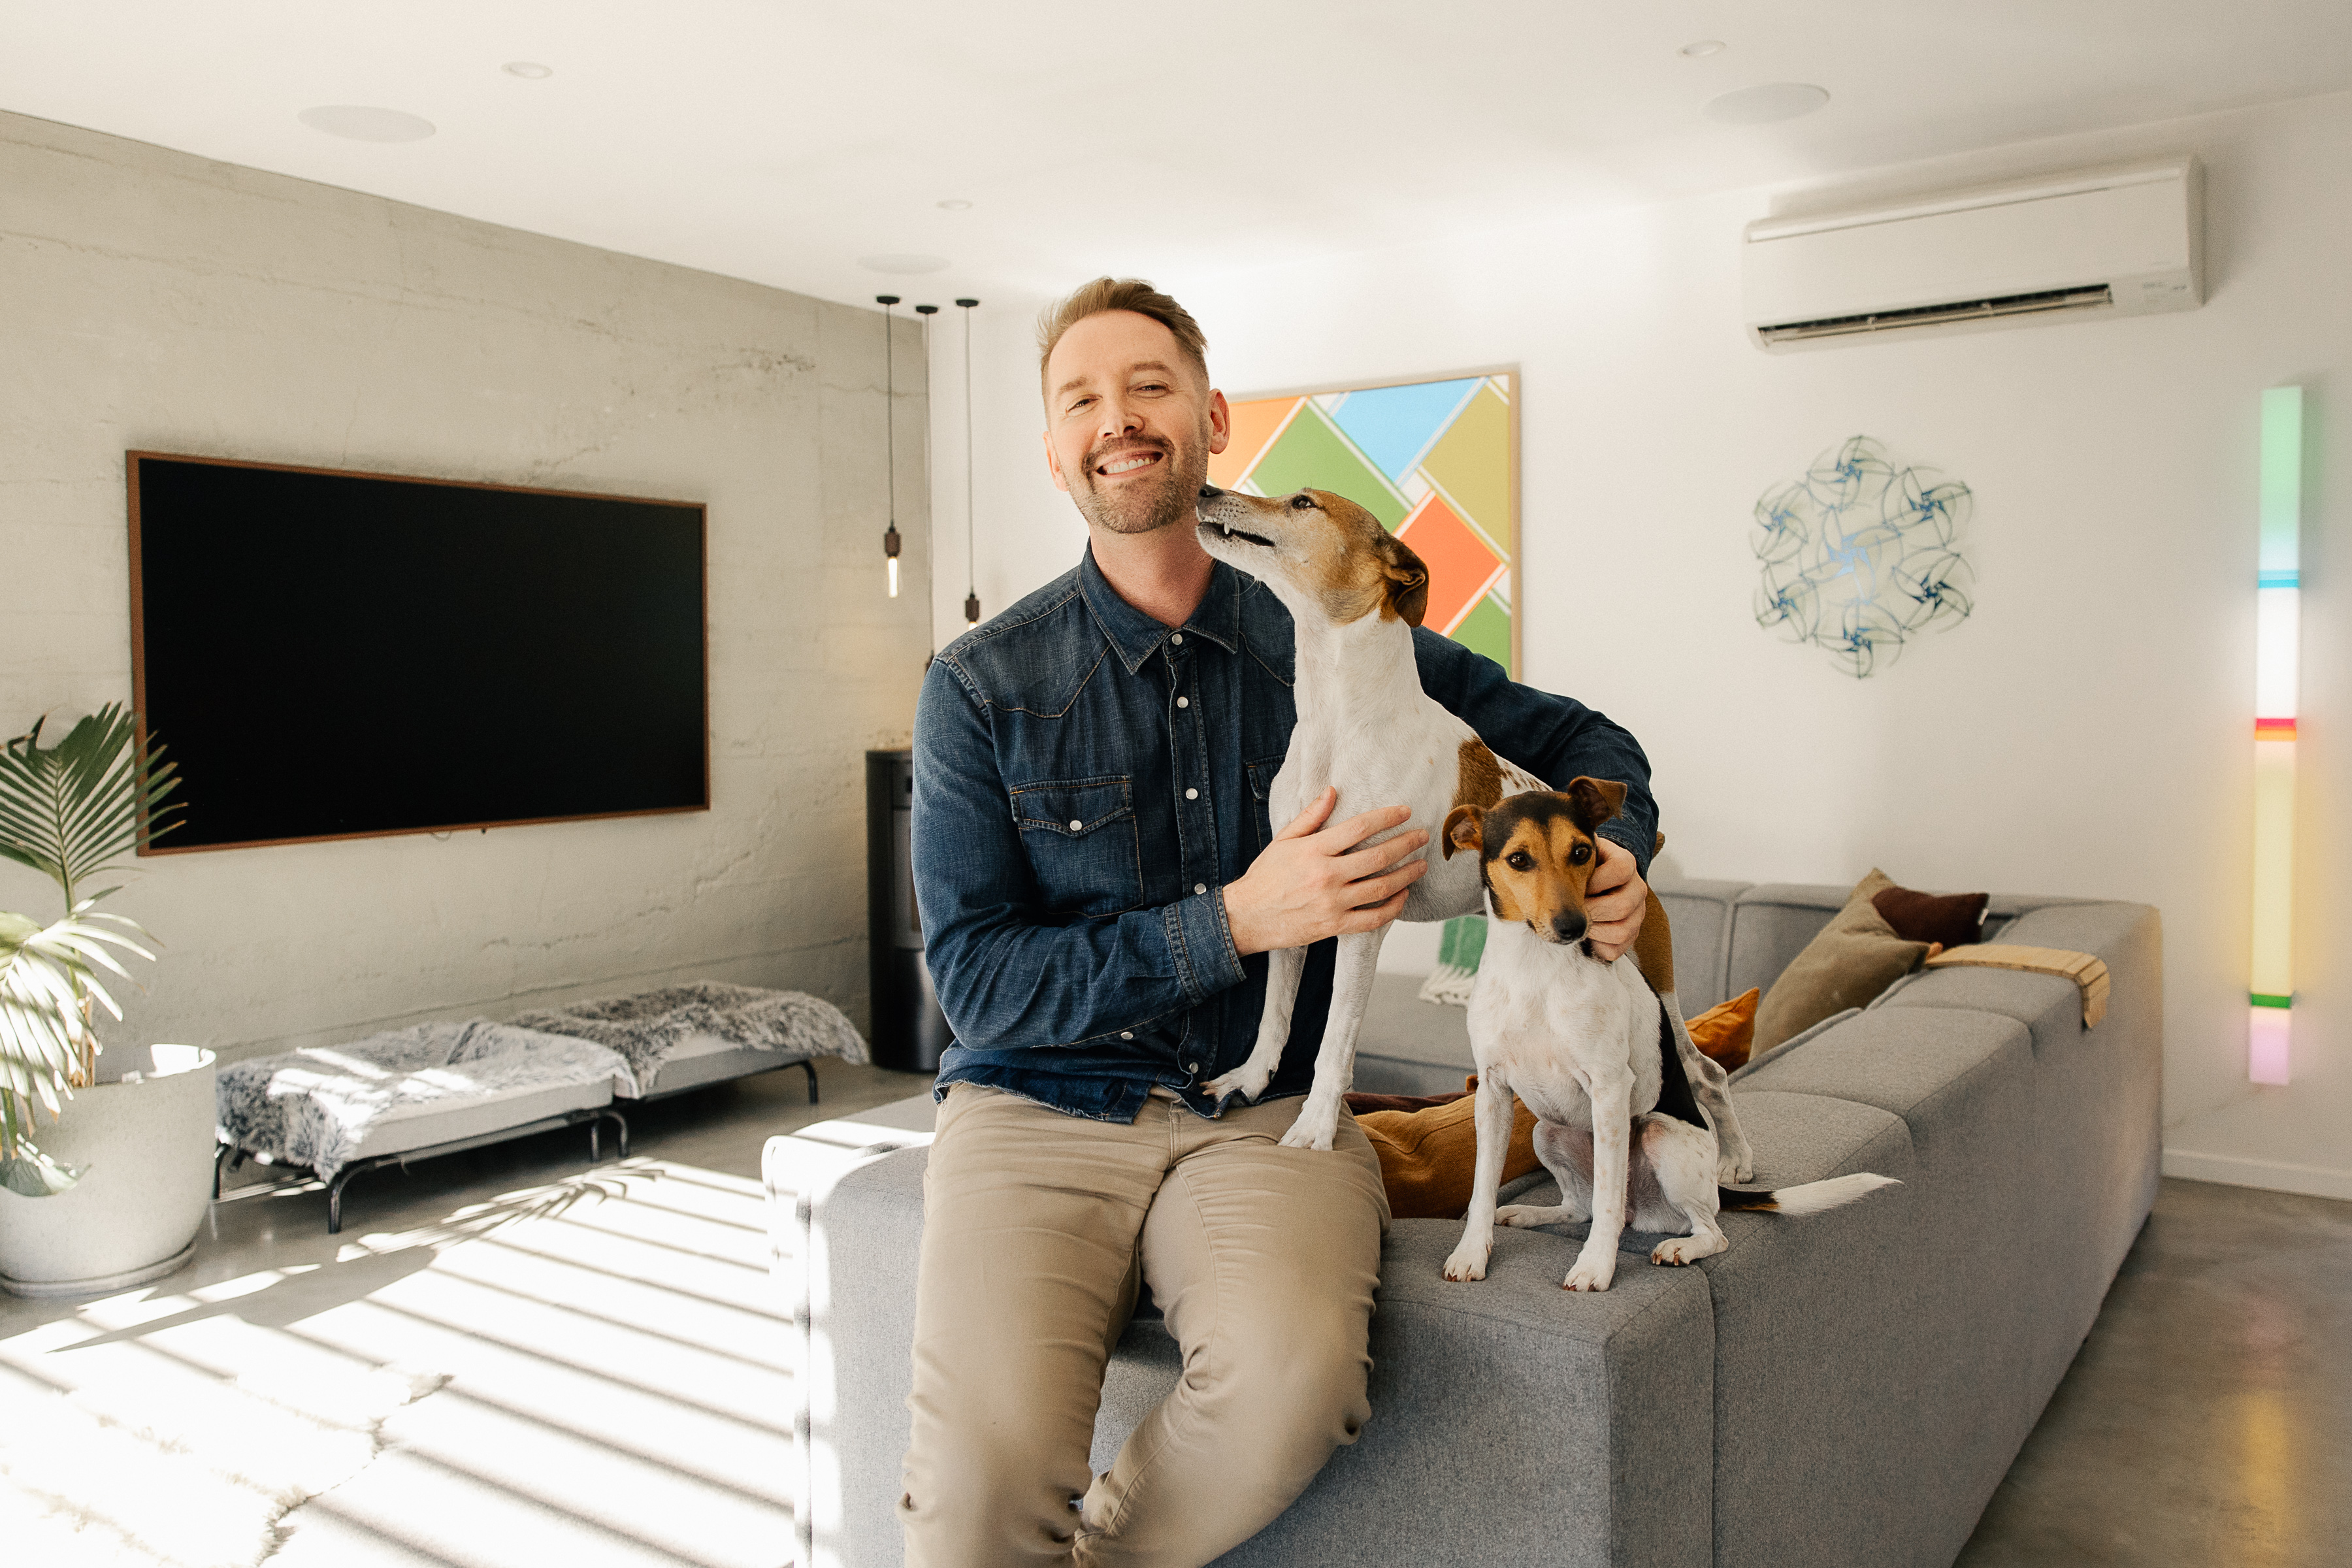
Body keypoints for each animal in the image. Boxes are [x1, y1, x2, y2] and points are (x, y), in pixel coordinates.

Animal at [1204, 486, 1759, 1175]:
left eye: (1303, 502)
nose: (1206, 490)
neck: (1341, 721)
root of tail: (1635, 858)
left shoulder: (1364, 921)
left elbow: (1334, 1044)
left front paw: (1313, 1128)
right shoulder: (1296, 900)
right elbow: (1274, 1017)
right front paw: (1250, 1081)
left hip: (1654, 986)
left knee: (1706, 1070)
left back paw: (1735, 1159)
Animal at [1429, 789, 1891, 1298]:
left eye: (1582, 852)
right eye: (1518, 859)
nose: (1574, 926)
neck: (1535, 967)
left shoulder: (1609, 1088)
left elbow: (1608, 1203)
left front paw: (1596, 1267)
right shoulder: (1492, 1093)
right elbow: (1482, 1192)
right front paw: (1472, 1253)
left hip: (1661, 1137)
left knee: (1707, 1230)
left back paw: (1681, 1244)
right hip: (1546, 1132)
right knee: (1579, 1208)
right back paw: (1529, 1212)